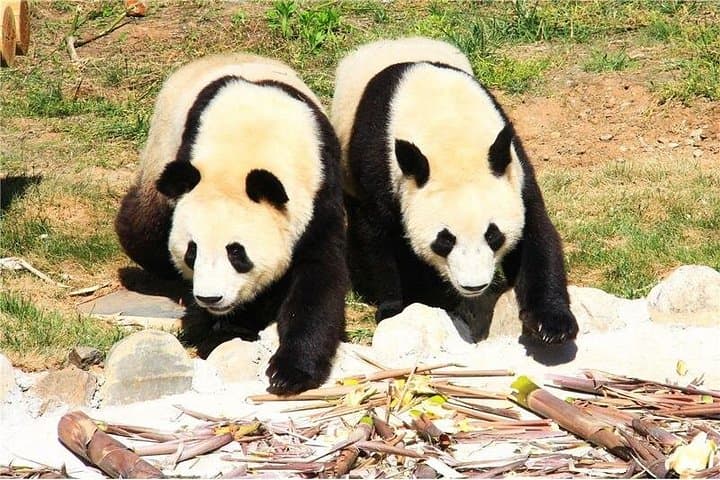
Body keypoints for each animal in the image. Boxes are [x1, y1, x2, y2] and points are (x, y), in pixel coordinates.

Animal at [115, 53, 349, 394]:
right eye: (192, 252)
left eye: (237, 253)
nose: (210, 298)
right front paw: (225, 329)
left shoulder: (321, 188)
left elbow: (318, 277)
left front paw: (290, 373)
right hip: (161, 150)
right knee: (142, 227)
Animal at [331, 38, 578, 344]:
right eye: (445, 240)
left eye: (493, 235)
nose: (474, 286)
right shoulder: (381, 167)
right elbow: (378, 238)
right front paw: (394, 309)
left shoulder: (512, 167)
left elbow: (535, 234)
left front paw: (552, 325)